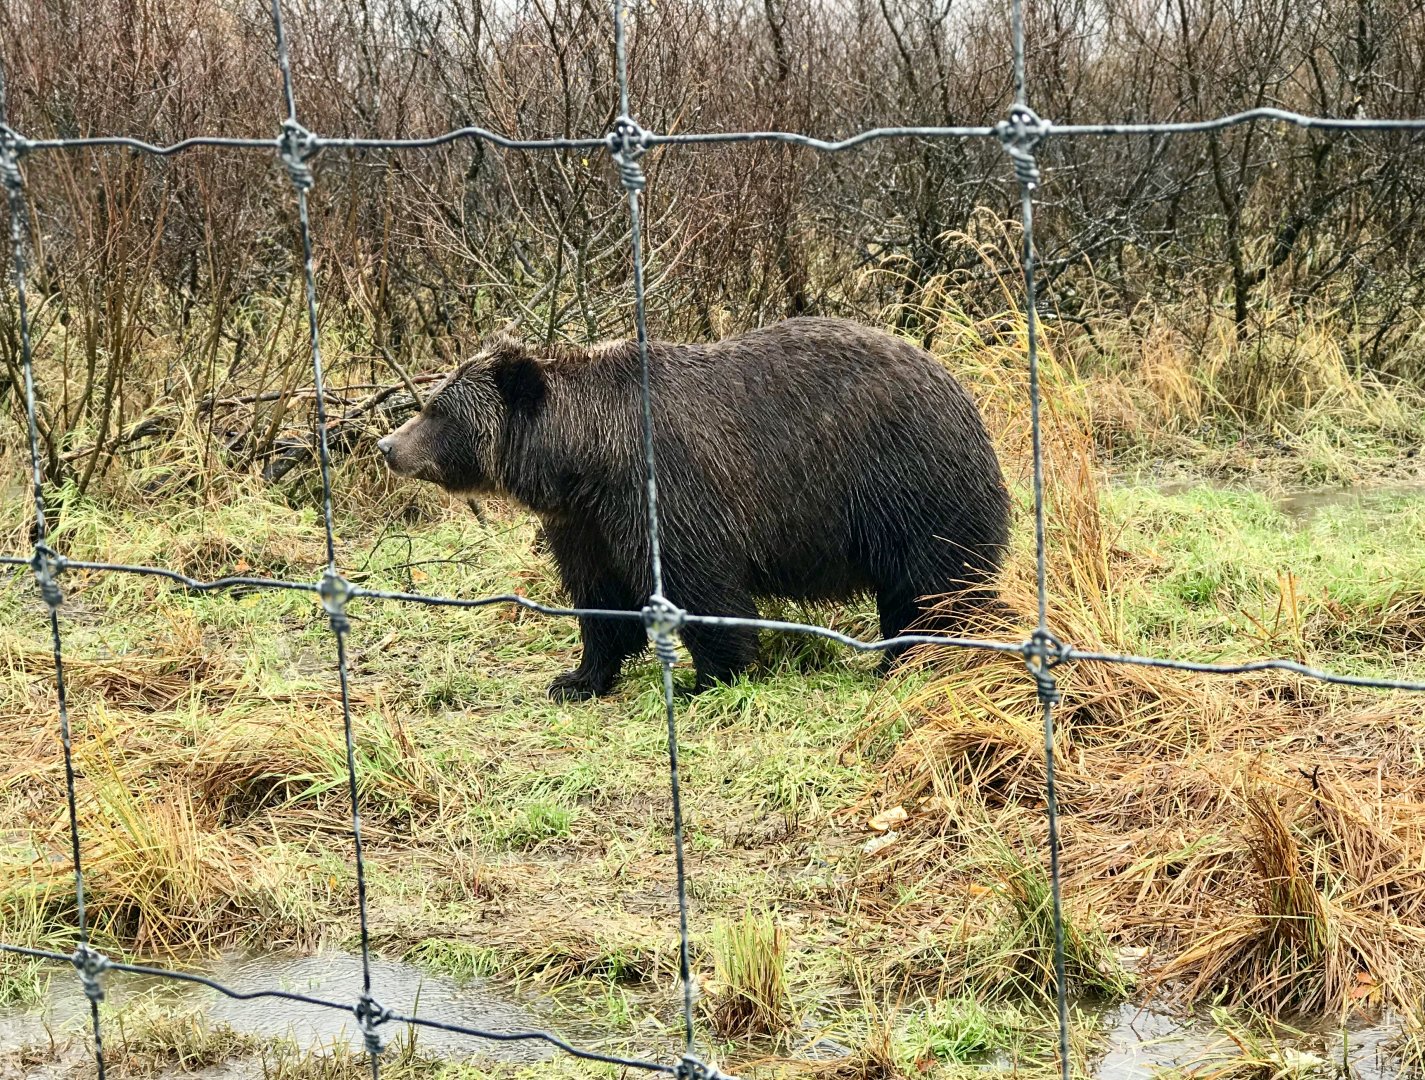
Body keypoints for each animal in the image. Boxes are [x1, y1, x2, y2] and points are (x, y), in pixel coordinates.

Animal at [376, 316, 1010, 701]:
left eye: (438, 410)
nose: (387, 445)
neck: (584, 460)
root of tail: (961, 390)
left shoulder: (665, 493)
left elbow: (700, 585)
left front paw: (711, 677)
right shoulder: (586, 523)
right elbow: (599, 599)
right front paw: (578, 677)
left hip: (909, 485)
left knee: (937, 586)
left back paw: (918, 658)